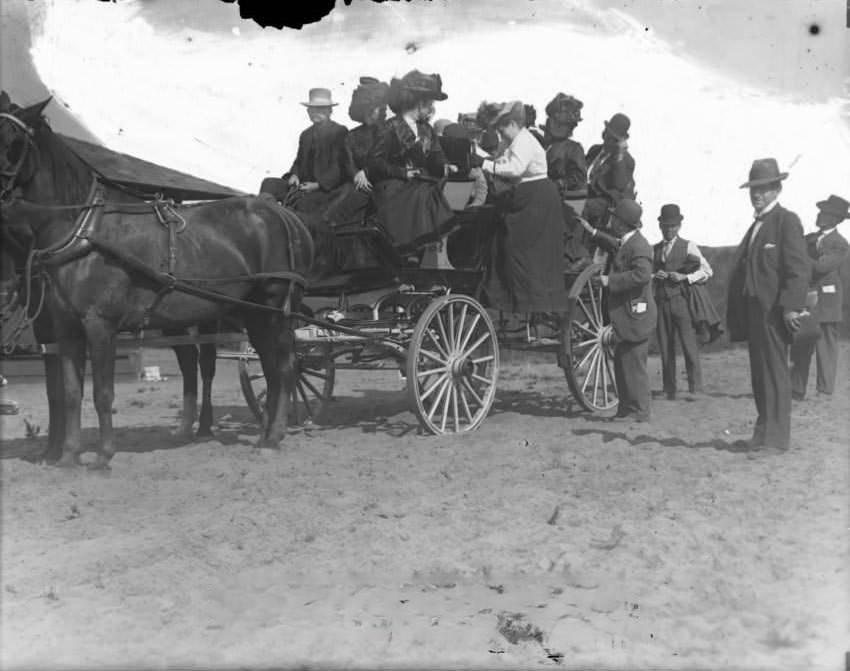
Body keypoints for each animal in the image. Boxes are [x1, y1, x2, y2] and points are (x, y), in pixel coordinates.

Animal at [0, 97, 314, 470]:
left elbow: (102, 393)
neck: (84, 228)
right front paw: (68, 456)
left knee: (284, 366)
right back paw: (263, 433)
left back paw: (273, 437)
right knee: (268, 366)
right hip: (252, 315)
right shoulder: (65, 327)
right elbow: (71, 391)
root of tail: (282, 214)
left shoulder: (100, 324)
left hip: (273, 311)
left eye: (13, 141)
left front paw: (103, 456)